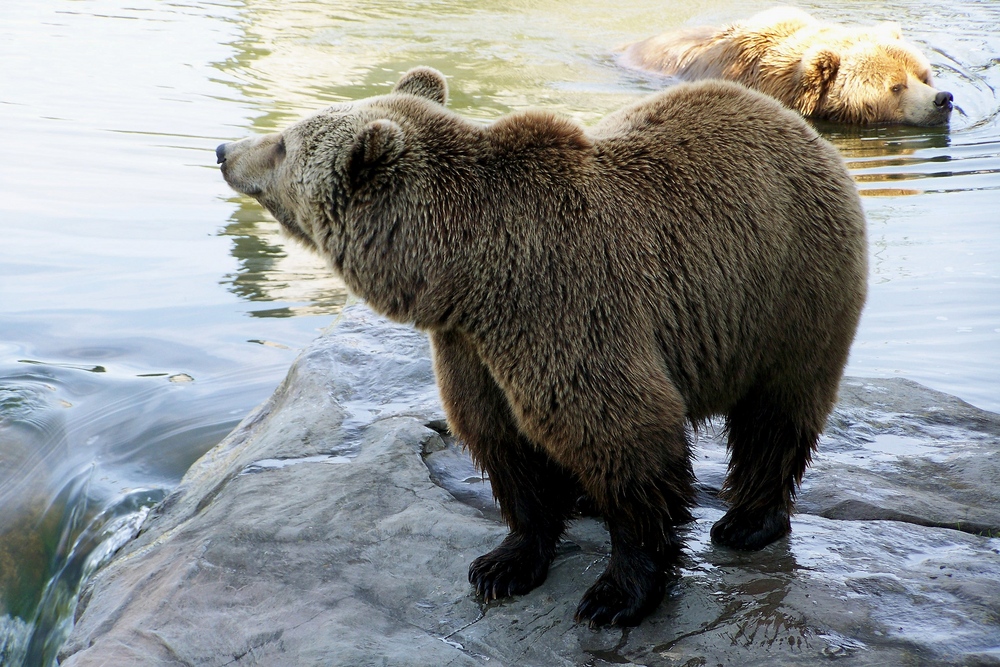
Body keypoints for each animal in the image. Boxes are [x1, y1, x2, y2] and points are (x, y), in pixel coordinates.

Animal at [217, 70, 868, 628]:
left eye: (282, 143)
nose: (223, 149)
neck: (466, 275)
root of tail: (797, 123)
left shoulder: (563, 303)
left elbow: (624, 433)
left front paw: (616, 594)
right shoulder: (470, 347)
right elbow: (501, 440)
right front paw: (503, 564)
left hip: (791, 290)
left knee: (776, 414)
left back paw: (747, 521)